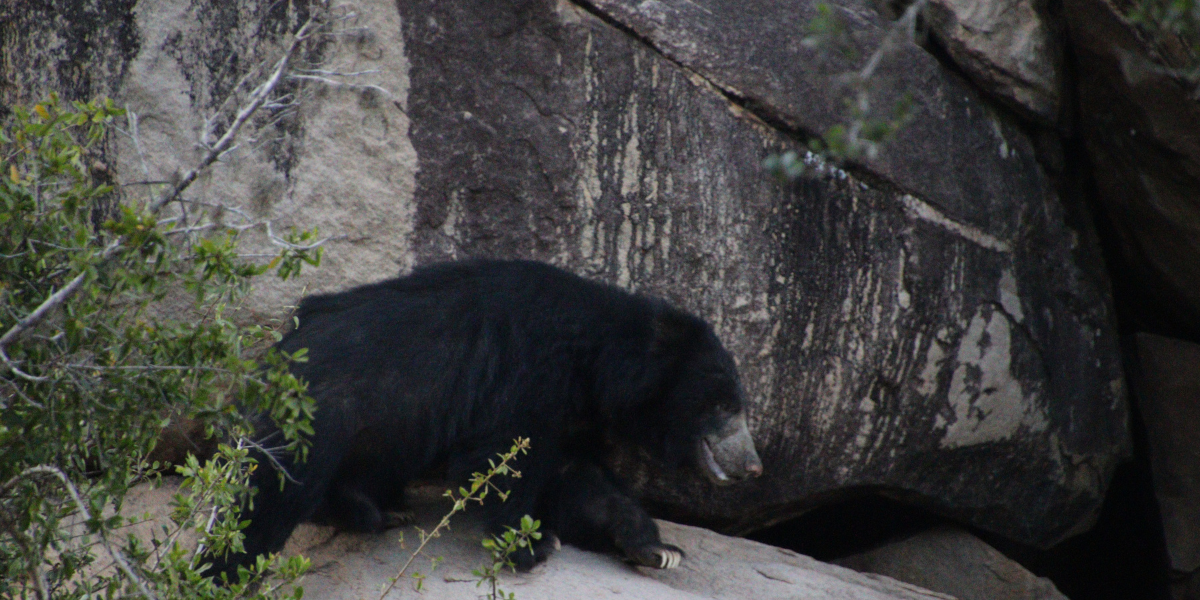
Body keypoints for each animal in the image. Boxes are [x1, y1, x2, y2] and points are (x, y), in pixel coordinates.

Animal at [204, 260, 758, 578]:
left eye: (739, 404)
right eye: (723, 406)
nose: (753, 466)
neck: (596, 358)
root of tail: (277, 351)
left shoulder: (573, 409)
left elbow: (579, 479)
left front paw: (657, 548)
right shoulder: (527, 374)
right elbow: (506, 459)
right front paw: (531, 546)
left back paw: (378, 511)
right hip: (321, 412)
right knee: (271, 497)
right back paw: (228, 568)